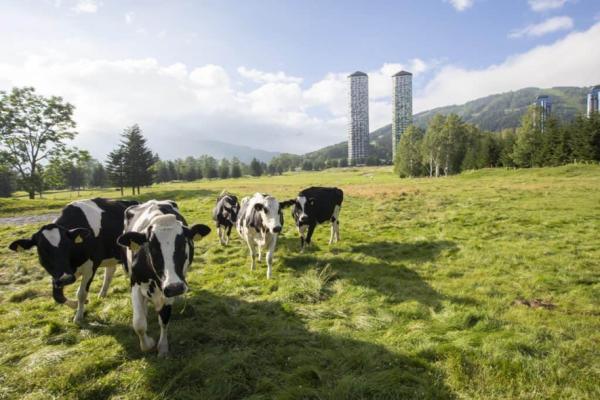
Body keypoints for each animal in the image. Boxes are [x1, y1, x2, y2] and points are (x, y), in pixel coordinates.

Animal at [7, 198, 139, 324]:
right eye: (43, 250)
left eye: (68, 245)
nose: (66, 279)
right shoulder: (57, 274)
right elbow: (57, 296)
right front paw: (76, 305)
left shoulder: (90, 267)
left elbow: (81, 293)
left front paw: (78, 317)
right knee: (110, 272)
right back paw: (102, 295)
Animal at [116, 200, 211, 356]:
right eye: (152, 248)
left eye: (183, 244)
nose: (176, 287)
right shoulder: (135, 284)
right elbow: (139, 323)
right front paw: (148, 344)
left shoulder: (169, 290)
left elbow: (164, 318)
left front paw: (163, 347)